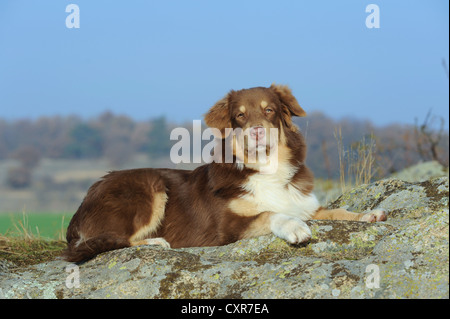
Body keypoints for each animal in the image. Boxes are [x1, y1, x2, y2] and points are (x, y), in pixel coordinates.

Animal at [64, 84, 386, 262]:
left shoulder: (304, 203)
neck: (266, 169)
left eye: (269, 110)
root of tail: (80, 207)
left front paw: (368, 214)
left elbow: (337, 210)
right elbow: (269, 213)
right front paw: (294, 227)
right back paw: (155, 242)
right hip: (147, 185)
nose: (256, 131)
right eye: (240, 115)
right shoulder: (226, 227)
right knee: (109, 242)